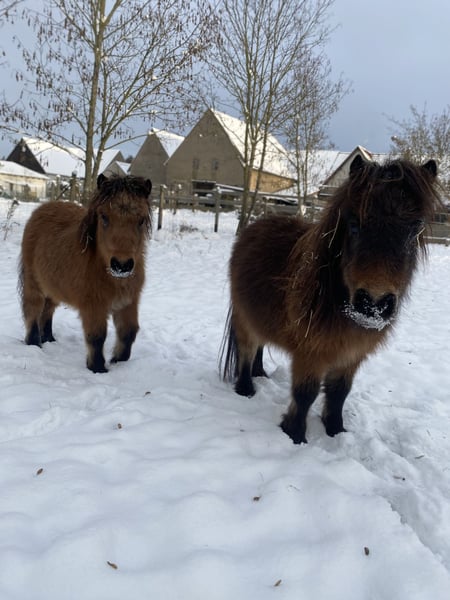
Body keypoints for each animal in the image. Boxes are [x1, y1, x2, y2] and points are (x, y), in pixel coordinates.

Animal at [19, 174, 152, 373]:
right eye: (104, 217)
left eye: (141, 220)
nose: (122, 265)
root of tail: (43, 208)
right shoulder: (93, 305)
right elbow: (96, 336)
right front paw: (97, 368)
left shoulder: (128, 302)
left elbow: (128, 331)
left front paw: (118, 361)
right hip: (33, 283)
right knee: (33, 310)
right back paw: (35, 343)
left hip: (53, 287)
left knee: (47, 311)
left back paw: (49, 339)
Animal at [221, 155, 440, 444]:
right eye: (354, 225)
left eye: (415, 229)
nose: (373, 304)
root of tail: (256, 225)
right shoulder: (311, 353)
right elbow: (305, 394)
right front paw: (295, 435)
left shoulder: (350, 357)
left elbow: (338, 394)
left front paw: (335, 431)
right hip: (244, 318)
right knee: (247, 350)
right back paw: (246, 388)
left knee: (259, 344)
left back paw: (260, 373)